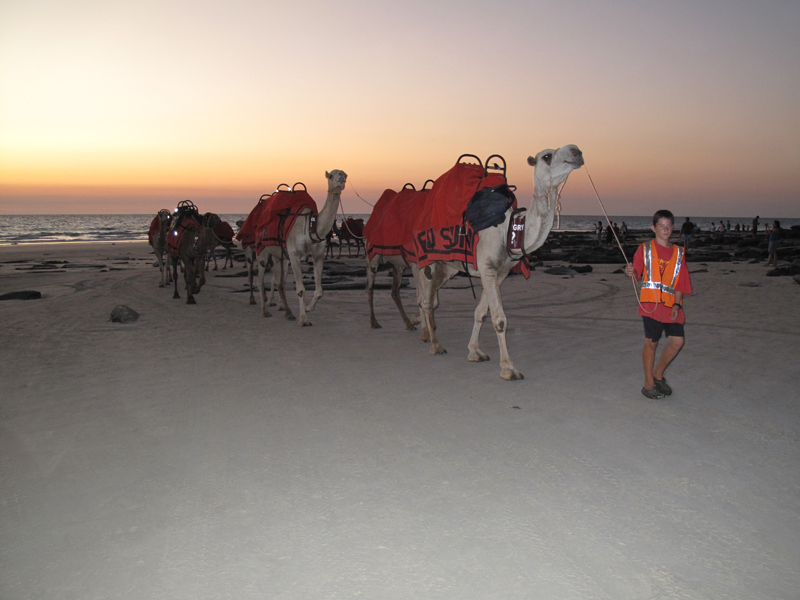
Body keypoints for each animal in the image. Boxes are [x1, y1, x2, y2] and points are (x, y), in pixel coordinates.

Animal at [256, 171, 344, 326]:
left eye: (345, 174)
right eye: (331, 175)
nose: (342, 177)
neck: (311, 227)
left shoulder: (317, 255)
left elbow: (320, 291)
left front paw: (309, 308)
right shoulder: (294, 254)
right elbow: (300, 289)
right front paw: (303, 319)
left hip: (281, 256)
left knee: (279, 282)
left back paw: (288, 312)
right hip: (263, 250)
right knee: (261, 281)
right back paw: (265, 311)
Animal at [418, 145, 580, 380]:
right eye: (547, 156)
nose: (576, 151)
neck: (509, 230)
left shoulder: (500, 272)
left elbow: (481, 313)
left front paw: (474, 352)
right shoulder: (487, 266)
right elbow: (500, 319)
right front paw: (508, 368)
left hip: (447, 267)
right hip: (427, 261)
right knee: (426, 300)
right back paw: (435, 345)